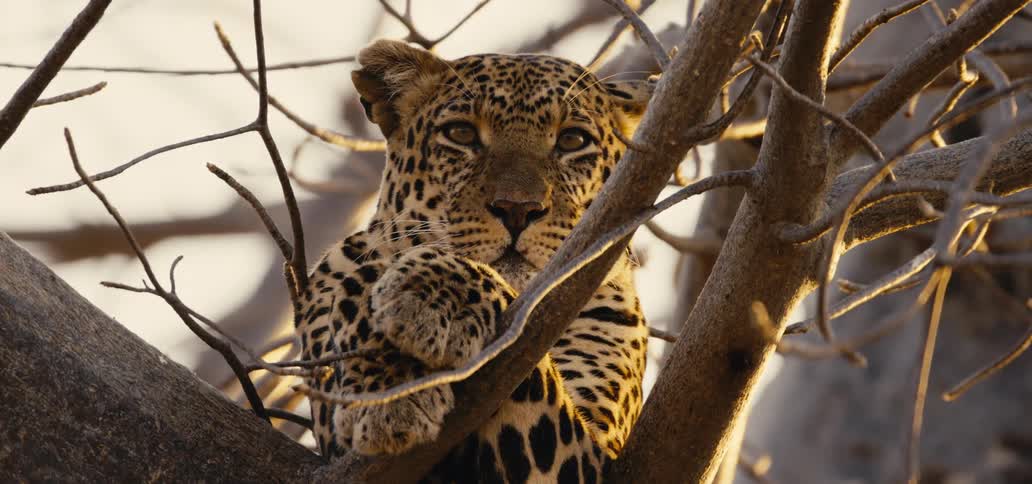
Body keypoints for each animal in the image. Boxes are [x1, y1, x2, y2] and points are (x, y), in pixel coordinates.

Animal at [295, 39, 654, 483]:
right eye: (461, 133)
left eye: (572, 140)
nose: (518, 209)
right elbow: (359, 274)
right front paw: (387, 394)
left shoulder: (596, 457)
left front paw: (431, 291)